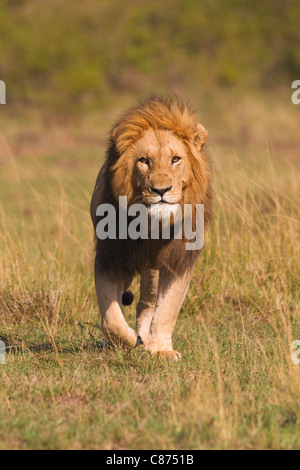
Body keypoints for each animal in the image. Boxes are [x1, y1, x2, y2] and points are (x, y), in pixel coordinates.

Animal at [90, 94, 212, 360]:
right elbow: (110, 318)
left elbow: (168, 309)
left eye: (175, 159)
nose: (161, 190)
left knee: (147, 302)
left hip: (153, 269)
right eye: (144, 161)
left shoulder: (178, 259)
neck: (151, 227)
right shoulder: (109, 256)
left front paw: (159, 349)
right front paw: (125, 340)